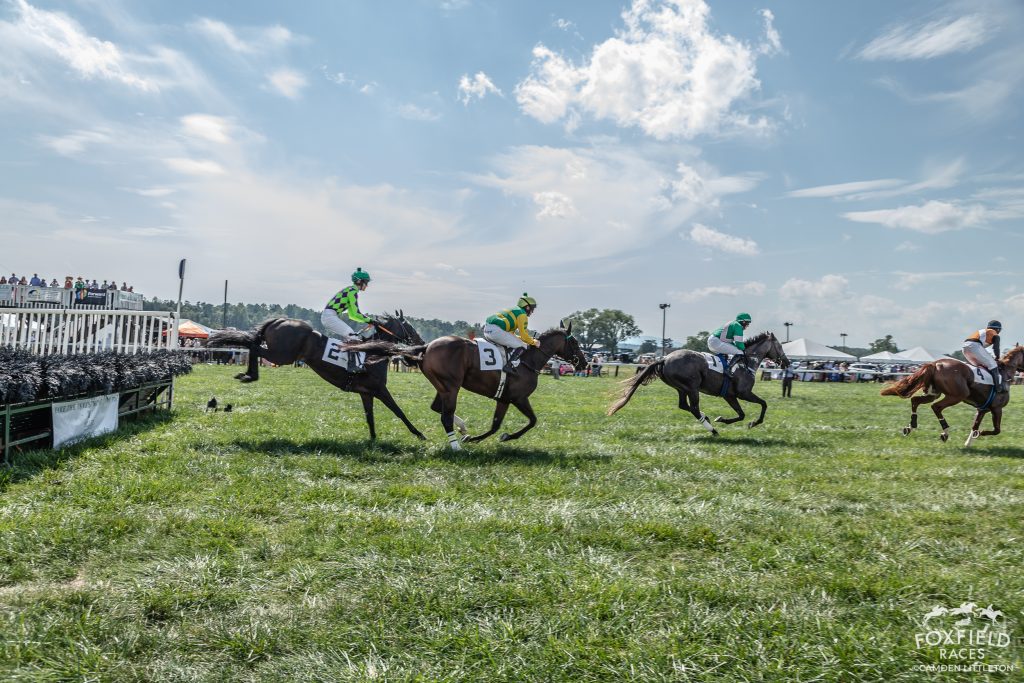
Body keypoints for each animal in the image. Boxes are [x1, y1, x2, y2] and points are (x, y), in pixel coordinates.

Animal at [208, 313, 428, 440]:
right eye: (410, 326)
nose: (422, 342)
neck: (373, 352)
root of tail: (280, 320)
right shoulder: (380, 390)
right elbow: (399, 412)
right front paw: (419, 434)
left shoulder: (366, 393)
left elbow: (370, 417)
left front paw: (373, 439)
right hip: (282, 355)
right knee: (253, 346)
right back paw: (249, 375)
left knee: (252, 344)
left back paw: (247, 374)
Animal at [344, 323, 585, 450]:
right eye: (575, 342)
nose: (583, 363)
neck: (529, 360)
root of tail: (427, 346)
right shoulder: (518, 398)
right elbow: (532, 421)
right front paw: (505, 437)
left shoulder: (504, 399)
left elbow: (496, 425)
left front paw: (478, 436)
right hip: (451, 387)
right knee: (445, 416)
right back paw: (455, 446)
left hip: (443, 386)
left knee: (438, 409)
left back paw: (461, 429)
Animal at [606, 331, 790, 438]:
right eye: (780, 346)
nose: (787, 362)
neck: (746, 362)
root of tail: (664, 358)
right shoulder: (743, 393)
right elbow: (763, 404)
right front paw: (753, 423)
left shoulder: (730, 396)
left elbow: (741, 414)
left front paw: (723, 419)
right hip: (692, 387)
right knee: (693, 408)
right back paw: (713, 430)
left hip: (681, 388)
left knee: (684, 405)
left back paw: (707, 418)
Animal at [880, 342, 1024, 448]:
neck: (1005, 373)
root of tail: (935, 363)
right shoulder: (997, 409)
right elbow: (996, 430)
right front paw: (980, 433)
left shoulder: (982, 409)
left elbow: (975, 426)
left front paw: (968, 443)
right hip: (957, 396)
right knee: (936, 407)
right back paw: (945, 432)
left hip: (933, 394)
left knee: (915, 400)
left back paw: (910, 426)